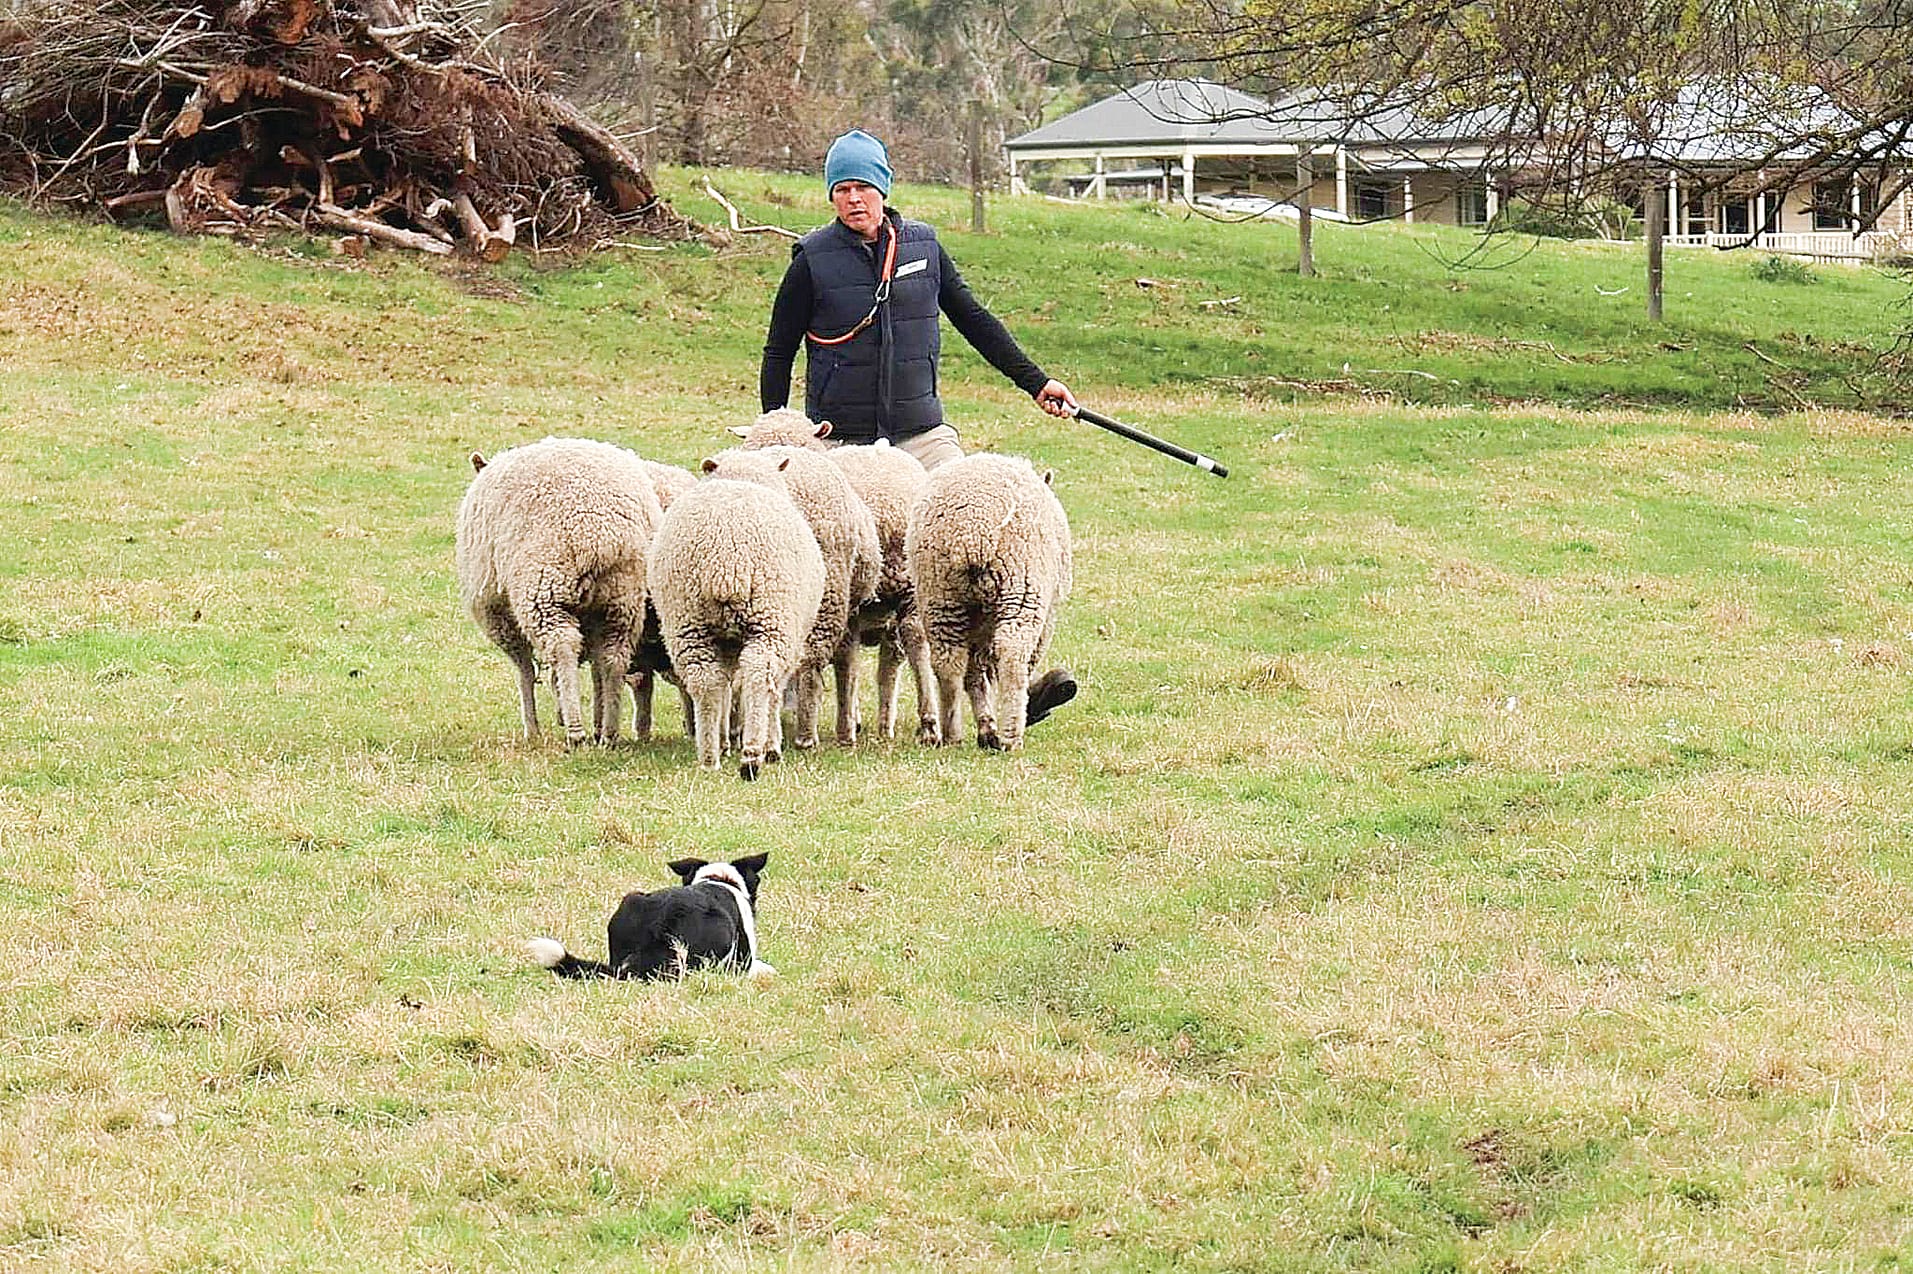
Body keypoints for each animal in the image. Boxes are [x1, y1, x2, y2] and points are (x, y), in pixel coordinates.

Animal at [456, 438, 663, 746]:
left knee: (563, 648)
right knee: (613, 657)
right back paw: (608, 733)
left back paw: (576, 731)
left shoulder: (496, 612)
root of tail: (602, 536)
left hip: (545, 593)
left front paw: (532, 728)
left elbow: (524, 671)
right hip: (624, 599)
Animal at [646, 465, 825, 778]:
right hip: (771, 621)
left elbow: (726, 690)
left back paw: (709, 757)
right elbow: (773, 693)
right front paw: (771, 745)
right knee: (758, 676)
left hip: (687, 622)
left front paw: (724, 741)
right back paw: (753, 755)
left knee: (705, 682)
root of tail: (724, 561)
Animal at [906, 453, 1072, 753]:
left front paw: (985, 726)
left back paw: (953, 733)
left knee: (948, 663)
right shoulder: (1046, 615)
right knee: (1013, 654)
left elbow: (975, 675)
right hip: (1022, 589)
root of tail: (972, 535)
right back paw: (1011, 736)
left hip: (940, 596)